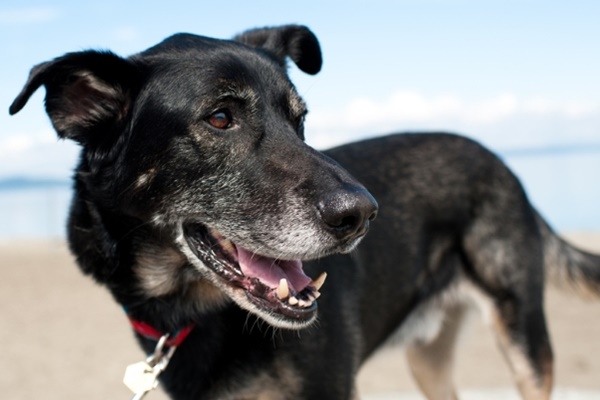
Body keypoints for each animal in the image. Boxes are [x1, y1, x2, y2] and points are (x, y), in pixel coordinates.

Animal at [8, 25, 600, 400]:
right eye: (220, 118)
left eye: (300, 121)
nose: (363, 214)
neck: (193, 314)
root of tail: (499, 161)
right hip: (429, 358)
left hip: (524, 341)